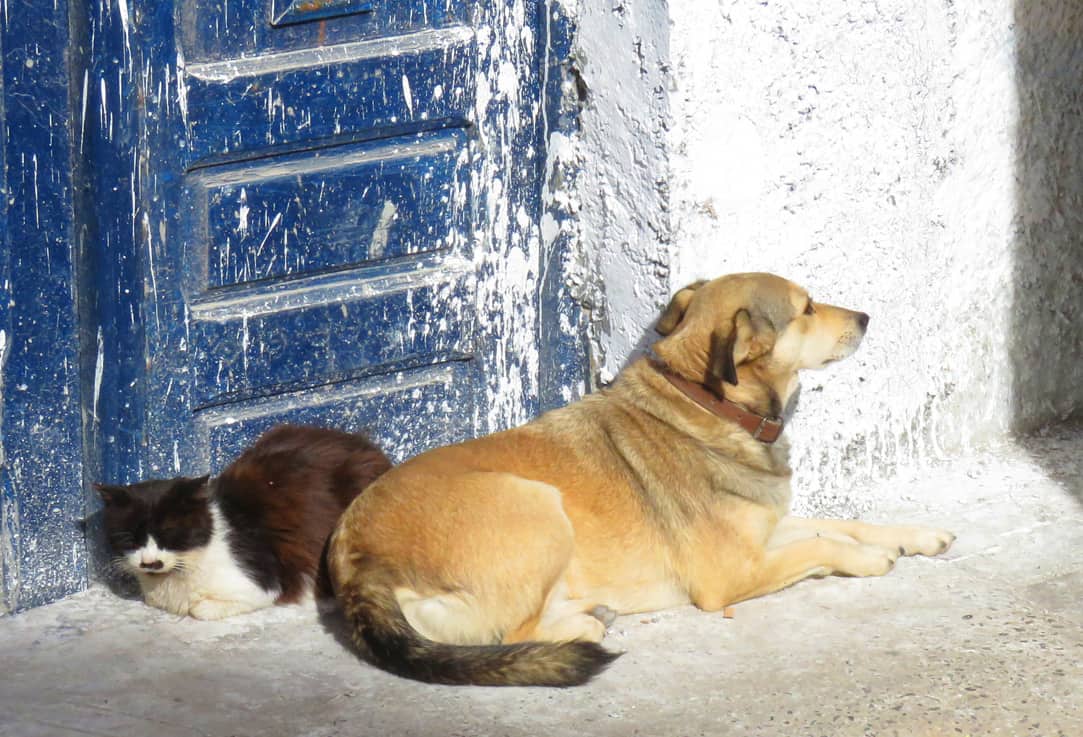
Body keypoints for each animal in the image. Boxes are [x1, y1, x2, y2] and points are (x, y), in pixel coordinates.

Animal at [329, 272, 957, 688]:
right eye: (805, 309)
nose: (866, 318)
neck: (707, 402)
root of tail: (351, 552)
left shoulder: (765, 528)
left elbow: (840, 521)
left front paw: (915, 535)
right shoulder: (732, 573)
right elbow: (824, 543)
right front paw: (868, 557)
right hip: (538, 507)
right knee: (510, 635)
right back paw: (581, 625)